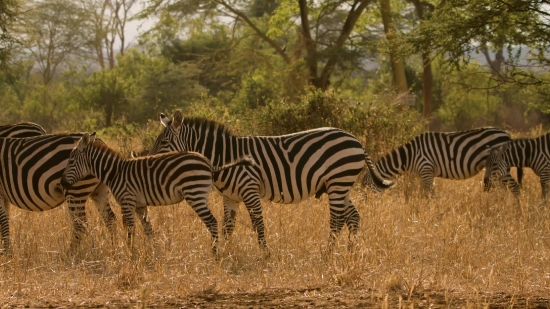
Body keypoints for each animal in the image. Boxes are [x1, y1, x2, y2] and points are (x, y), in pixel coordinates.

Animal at [59, 131, 258, 251]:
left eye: (70, 160)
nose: (61, 183)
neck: (116, 171)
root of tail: (209, 164)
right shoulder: (140, 205)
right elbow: (148, 229)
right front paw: (152, 252)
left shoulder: (127, 200)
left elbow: (131, 229)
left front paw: (131, 254)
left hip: (195, 194)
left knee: (212, 221)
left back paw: (215, 253)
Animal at [148, 109, 396, 249]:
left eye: (163, 143)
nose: (148, 160)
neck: (225, 157)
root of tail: (356, 140)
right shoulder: (230, 197)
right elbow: (228, 226)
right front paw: (225, 252)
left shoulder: (250, 189)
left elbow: (258, 223)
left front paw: (265, 254)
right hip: (340, 185)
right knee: (352, 217)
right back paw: (351, 251)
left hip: (338, 181)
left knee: (336, 220)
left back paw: (328, 253)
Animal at [368, 127, 524, 195]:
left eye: (367, 186)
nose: (367, 207)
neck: (410, 156)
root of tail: (507, 134)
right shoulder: (423, 174)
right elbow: (421, 194)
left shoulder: (426, 169)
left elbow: (430, 195)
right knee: (505, 190)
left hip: (500, 167)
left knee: (514, 188)